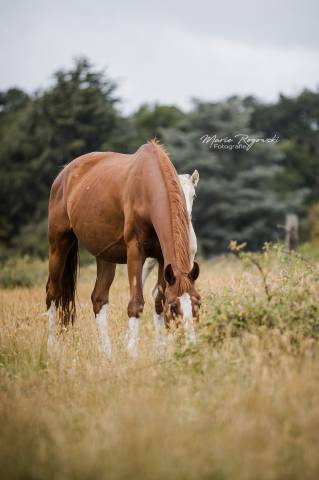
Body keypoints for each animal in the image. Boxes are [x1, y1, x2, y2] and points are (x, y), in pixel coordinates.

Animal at [45, 139, 200, 356]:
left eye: (197, 304)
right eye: (174, 307)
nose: (190, 346)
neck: (148, 188)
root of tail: (64, 174)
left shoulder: (163, 259)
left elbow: (158, 302)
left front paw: (162, 353)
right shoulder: (135, 252)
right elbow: (136, 303)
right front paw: (132, 353)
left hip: (104, 255)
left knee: (99, 299)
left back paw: (107, 355)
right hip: (59, 245)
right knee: (53, 292)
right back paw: (51, 348)